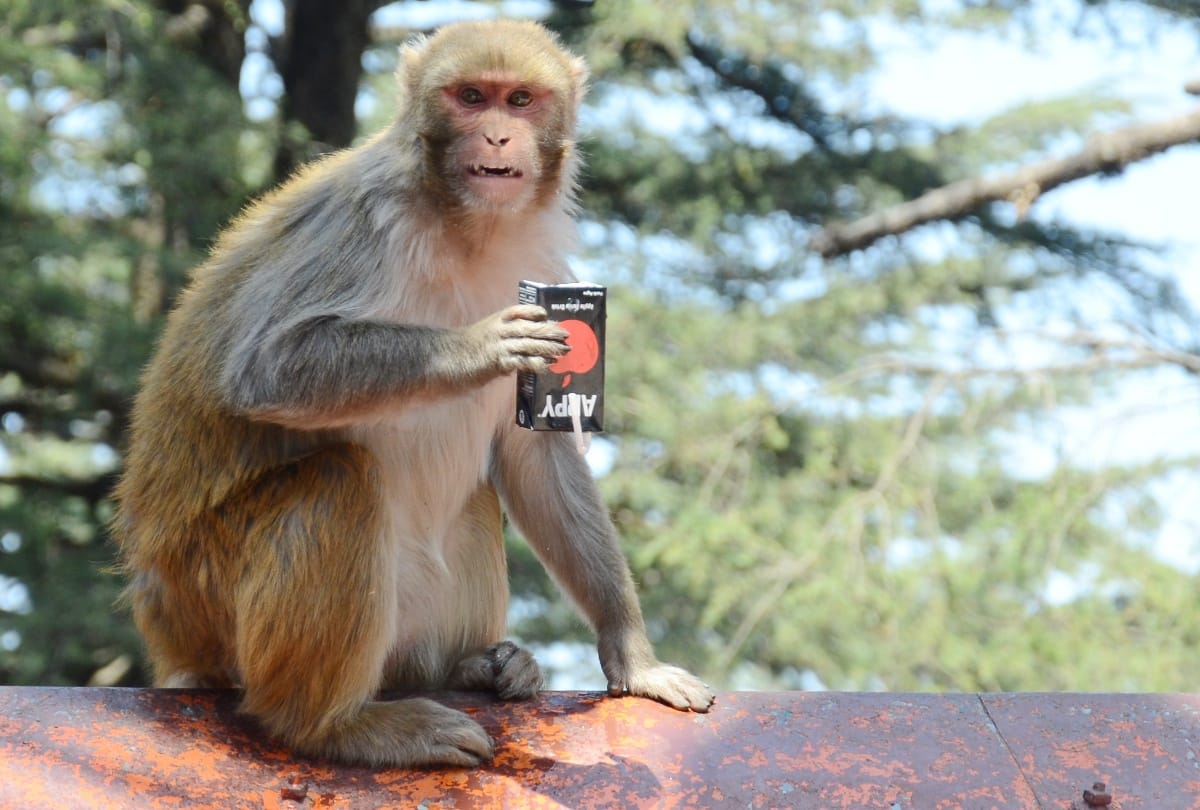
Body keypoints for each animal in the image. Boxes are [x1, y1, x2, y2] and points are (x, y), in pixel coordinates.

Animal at [112, 19, 714, 769]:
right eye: (470, 97)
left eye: (519, 100)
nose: (496, 137)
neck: (462, 226)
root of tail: (160, 620)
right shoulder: (359, 223)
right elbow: (264, 369)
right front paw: (479, 347)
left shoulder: (535, 266)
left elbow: (534, 452)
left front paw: (631, 655)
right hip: (203, 599)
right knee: (338, 480)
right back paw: (329, 725)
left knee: (473, 500)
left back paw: (467, 667)